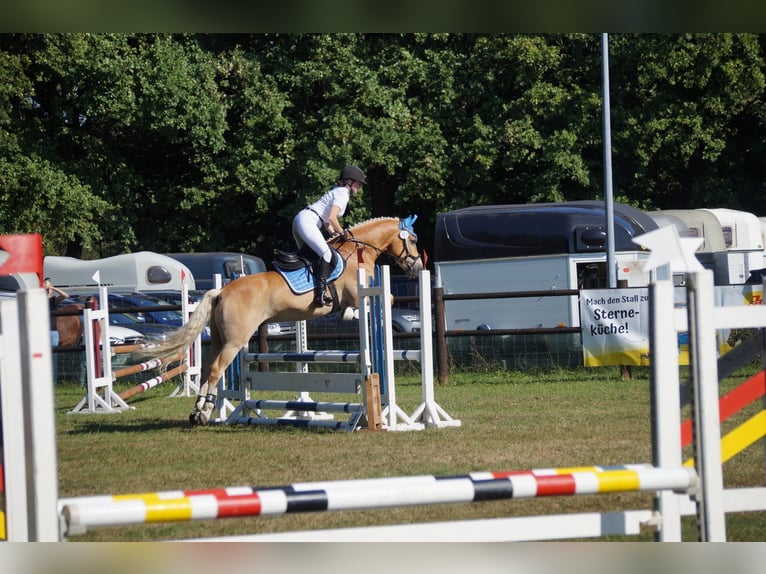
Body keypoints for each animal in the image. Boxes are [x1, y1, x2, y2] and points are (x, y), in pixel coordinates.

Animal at [139, 216, 426, 428]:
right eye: (413, 240)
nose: (417, 267)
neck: (358, 252)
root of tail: (222, 291)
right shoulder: (358, 293)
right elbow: (385, 299)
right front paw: (351, 315)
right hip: (235, 341)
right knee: (216, 370)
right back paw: (205, 412)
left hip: (220, 339)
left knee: (208, 367)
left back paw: (197, 412)